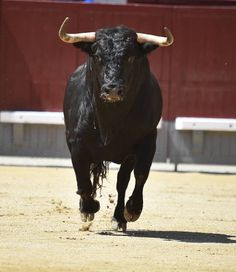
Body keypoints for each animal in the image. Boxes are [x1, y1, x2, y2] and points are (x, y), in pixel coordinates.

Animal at [62, 26, 169, 232]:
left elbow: (140, 174)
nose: (112, 90)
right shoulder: (77, 144)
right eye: (97, 56)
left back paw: (120, 217)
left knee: (122, 182)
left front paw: (132, 210)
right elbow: (83, 181)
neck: (111, 118)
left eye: (131, 57)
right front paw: (89, 208)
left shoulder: (147, 141)